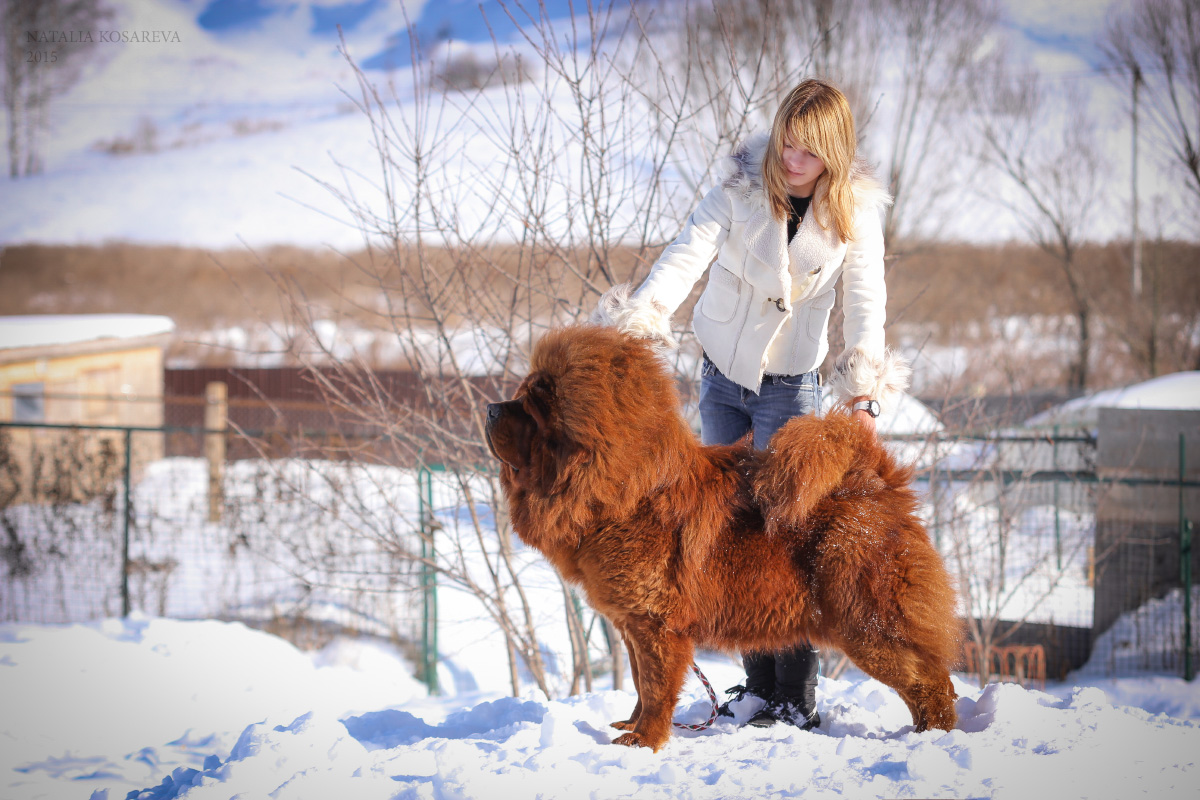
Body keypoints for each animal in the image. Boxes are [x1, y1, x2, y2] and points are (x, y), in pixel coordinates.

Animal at [484, 323, 961, 751]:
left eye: (534, 406)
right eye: (522, 396)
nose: (490, 408)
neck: (623, 493)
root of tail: (876, 481)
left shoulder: (655, 625)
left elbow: (655, 688)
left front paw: (644, 741)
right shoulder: (632, 625)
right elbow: (640, 683)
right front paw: (631, 726)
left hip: (866, 624)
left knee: (929, 680)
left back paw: (932, 737)